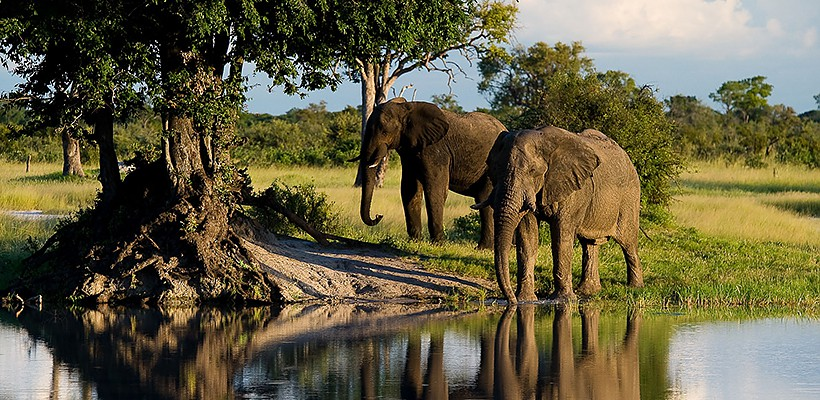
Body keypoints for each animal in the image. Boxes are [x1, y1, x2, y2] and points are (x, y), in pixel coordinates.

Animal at [358, 97, 506, 248]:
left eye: (384, 131)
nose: (378, 216)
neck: (408, 108)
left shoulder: (436, 150)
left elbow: (435, 189)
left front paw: (439, 244)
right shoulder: (410, 152)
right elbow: (409, 189)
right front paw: (415, 241)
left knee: (484, 198)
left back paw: (483, 248)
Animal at [470, 126, 644, 302]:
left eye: (533, 171)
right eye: (495, 170)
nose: (511, 300)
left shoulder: (572, 189)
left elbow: (561, 236)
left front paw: (563, 299)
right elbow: (527, 237)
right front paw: (526, 299)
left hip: (630, 196)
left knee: (628, 242)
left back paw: (635, 288)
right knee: (589, 243)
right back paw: (587, 292)